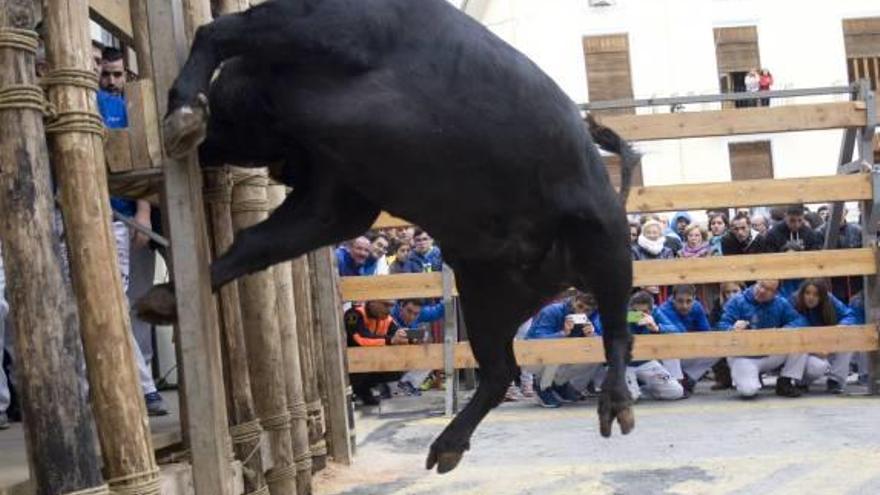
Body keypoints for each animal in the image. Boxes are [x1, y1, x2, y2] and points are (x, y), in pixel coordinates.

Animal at [158, 0, 640, 476]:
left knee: (617, 332)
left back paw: (616, 406)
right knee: (500, 369)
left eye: (228, 104)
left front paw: (183, 115)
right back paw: (446, 448)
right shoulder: (338, 190)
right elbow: (260, 241)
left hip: (607, 248)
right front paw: (161, 299)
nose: (207, 140)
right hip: (484, 293)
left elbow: (222, 29)